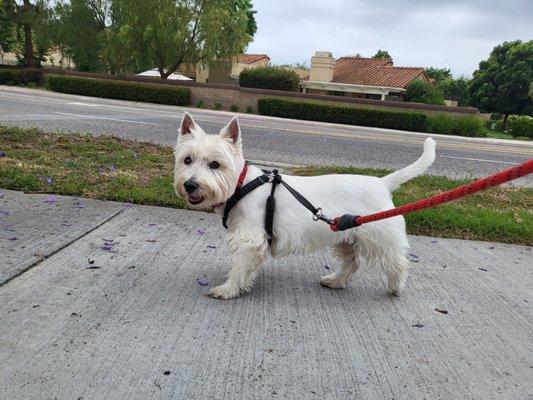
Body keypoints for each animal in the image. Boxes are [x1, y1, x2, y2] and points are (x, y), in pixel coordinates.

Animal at [172, 111, 434, 298]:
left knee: (397, 261)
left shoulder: (250, 238)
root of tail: (381, 183)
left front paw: (227, 289)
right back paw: (334, 281)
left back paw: (395, 287)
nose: (190, 185)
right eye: (187, 160)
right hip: (346, 234)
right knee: (353, 262)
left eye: (215, 164)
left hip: (379, 237)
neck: (240, 183)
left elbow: (241, 265)